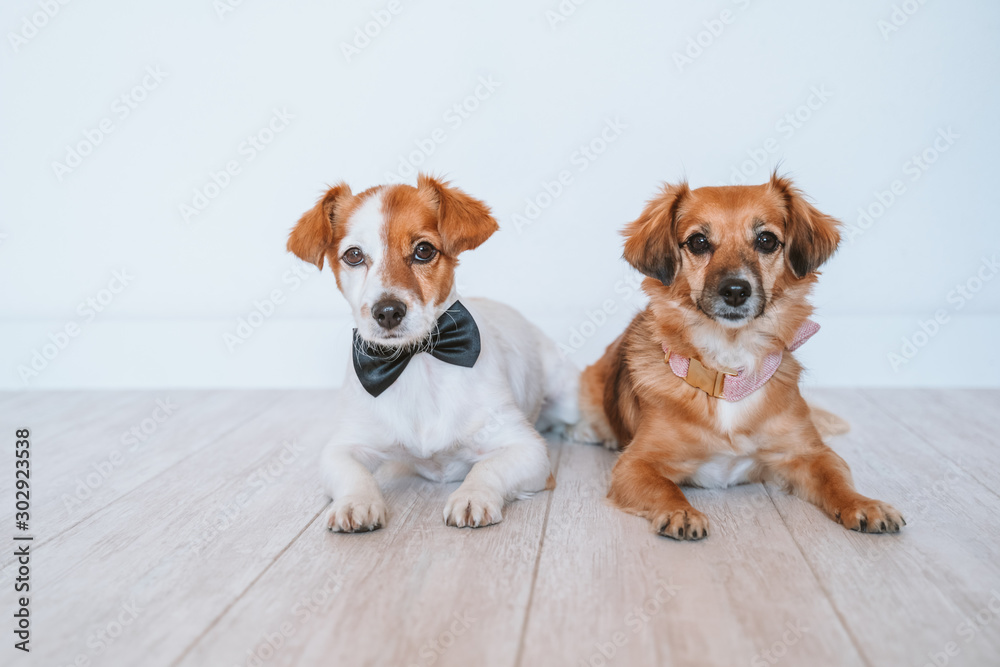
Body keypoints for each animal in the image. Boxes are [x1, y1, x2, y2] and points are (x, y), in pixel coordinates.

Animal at [288, 175, 580, 536]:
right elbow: (352, 474)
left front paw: (472, 495)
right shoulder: (344, 445)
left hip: (568, 395)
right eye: (353, 255)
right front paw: (357, 501)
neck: (415, 360)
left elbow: (487, 468)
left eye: (423, 250)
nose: (388, 311)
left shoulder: (528, 448)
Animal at [576, 175, 904, 540]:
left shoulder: (810, 453)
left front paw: (863, 503)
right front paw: (680, 511)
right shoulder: (635, 463)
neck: (729, 371)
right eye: (698, 242)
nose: (735, 290)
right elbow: (664, 487)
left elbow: (836, 478)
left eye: (766, 240)